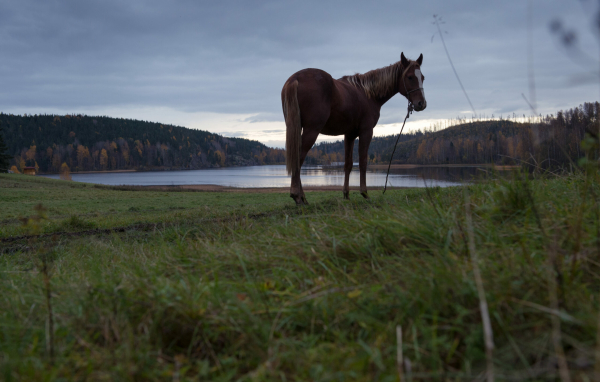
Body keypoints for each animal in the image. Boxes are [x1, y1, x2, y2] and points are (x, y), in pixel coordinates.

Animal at [282, 53, 426, 206]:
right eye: (410, 77)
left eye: (422, 77)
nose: (421, 104)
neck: (368, 94)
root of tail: (295, 78)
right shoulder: (366, 132)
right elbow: (363, 162)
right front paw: (365, 193)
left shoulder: (349, 135)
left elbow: (348, 164)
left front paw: (346, 194)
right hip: (311, 130)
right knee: (299, 158)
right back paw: (297, 196)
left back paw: (303, 197)